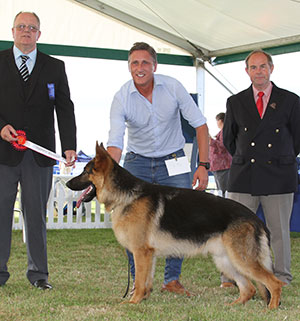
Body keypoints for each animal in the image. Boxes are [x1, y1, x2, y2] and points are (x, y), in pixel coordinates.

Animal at [66, 142, 284, 308]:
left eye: (85, 171)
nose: (67, 183)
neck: (125, 195)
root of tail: (257, 219)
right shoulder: (149, 255)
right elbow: (145, 281)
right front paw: (143, 299)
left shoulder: (141, 252)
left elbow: (139, 280)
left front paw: (133, 302)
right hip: (226, 261)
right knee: (250, 288)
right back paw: (234, 306)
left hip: (242, 260)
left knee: (274, 283)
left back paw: (271, 309)